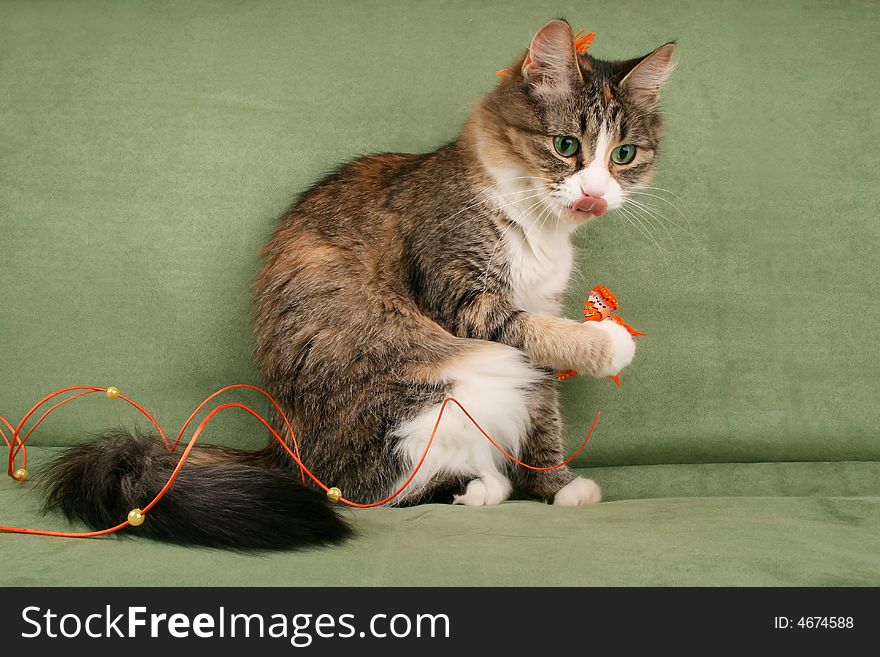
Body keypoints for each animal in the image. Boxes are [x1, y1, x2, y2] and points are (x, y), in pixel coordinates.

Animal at [44, 19, 676, 548]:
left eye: (623, 155)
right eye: (567, 146)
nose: (595, 193)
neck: (538, 226)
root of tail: (284, 444)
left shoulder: (535, 314)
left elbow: (544, 411)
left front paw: (558, 486)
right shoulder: (463, 296)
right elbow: (541, 334)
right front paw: (611, 343)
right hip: (433, 386)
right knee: (361, 487)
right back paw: (474, 484)